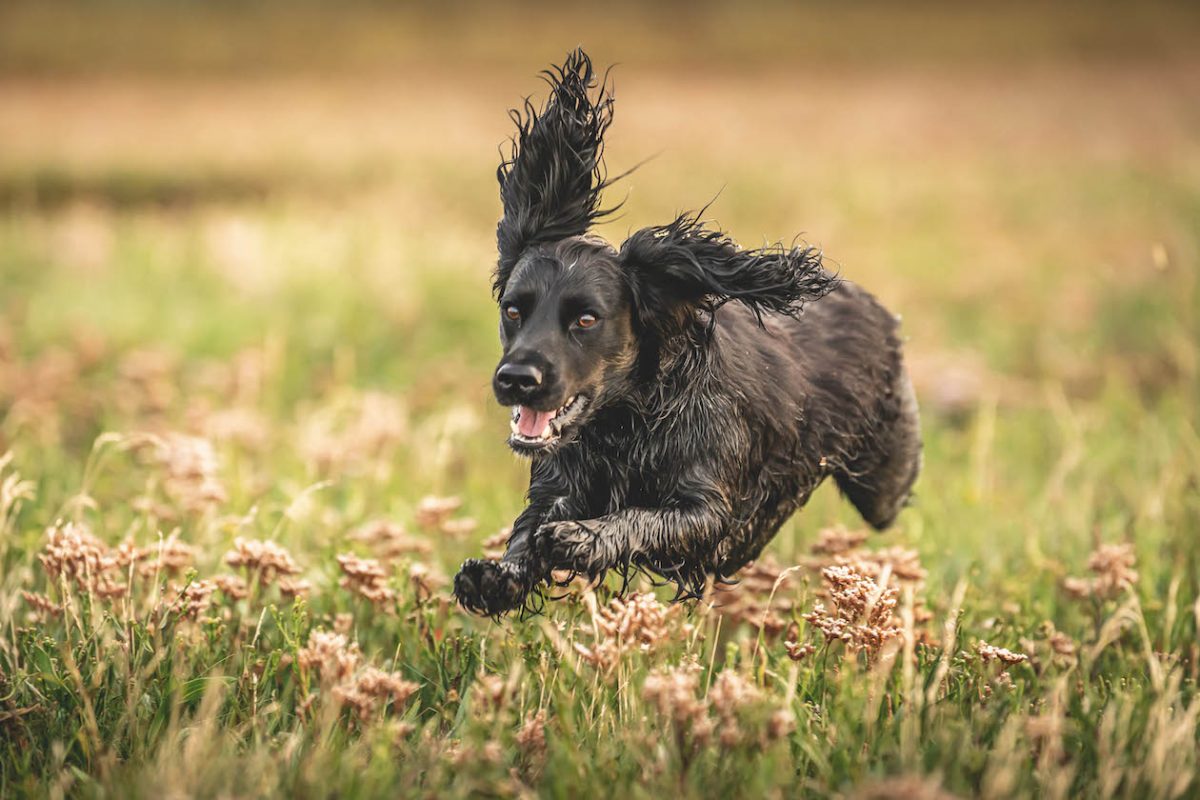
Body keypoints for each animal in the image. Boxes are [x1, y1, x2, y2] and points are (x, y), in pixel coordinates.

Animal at [451, 48, 916, 618]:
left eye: (586, 319)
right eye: (514, 310)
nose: (516, 379)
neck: (626, 426)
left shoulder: (709, 509)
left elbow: (641, 519)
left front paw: (583, 538)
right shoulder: (556, 484)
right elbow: (526, 531)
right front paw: (497, 577)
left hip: (883, 481)